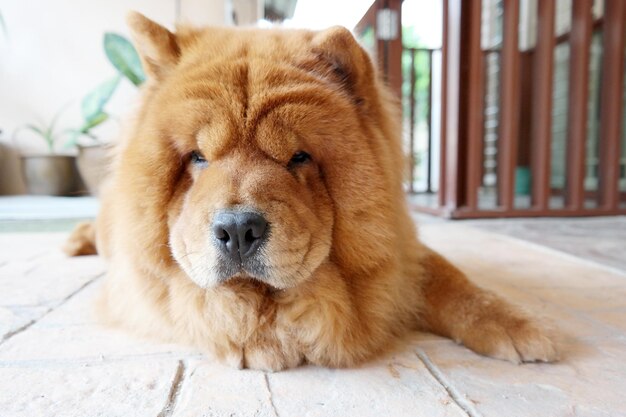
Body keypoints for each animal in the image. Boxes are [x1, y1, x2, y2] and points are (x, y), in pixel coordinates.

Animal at [64, 12, 556, 370]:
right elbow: (205, 300)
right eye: (198, 158)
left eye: (299, 157)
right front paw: (256, 339)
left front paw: (518, 325)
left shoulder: (404, 257)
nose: (237, 229)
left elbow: (454, 282)